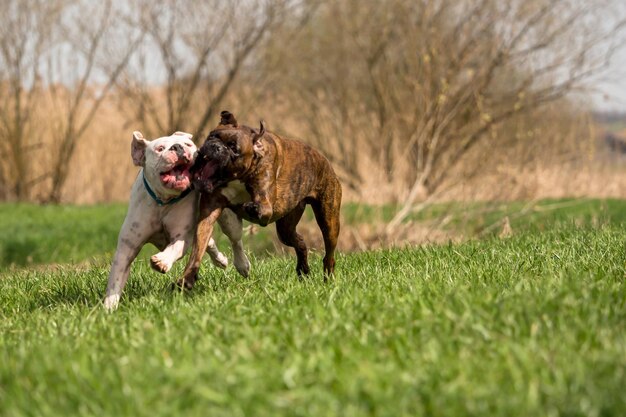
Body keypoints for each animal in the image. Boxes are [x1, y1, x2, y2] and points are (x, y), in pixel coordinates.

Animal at [103, 130, 247, 308]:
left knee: (235, 240)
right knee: (207, 242)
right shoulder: (127, 247)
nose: (177, 147)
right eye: (159, 149)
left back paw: (242, 265)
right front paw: (109, 308)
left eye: (188, 145)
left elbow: (174, 248)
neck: (164, 201)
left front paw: (162, 261)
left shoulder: (181, 237)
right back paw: (220, 260)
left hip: (227, 219)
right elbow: (115, 280)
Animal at [176, 109, 342, 288]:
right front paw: (186, 278)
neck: (238, 177)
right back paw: (303, 270)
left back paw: (328, 279)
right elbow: (198, 250)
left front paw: (251, 208)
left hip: (329, 221)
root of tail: (325, 161)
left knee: (329, 254)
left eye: (234, 148)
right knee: (301, 243)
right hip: (285, 230)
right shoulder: (207, 215)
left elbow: (259, 208)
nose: (216, 147)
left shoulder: (266, 208)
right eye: (212, 136)